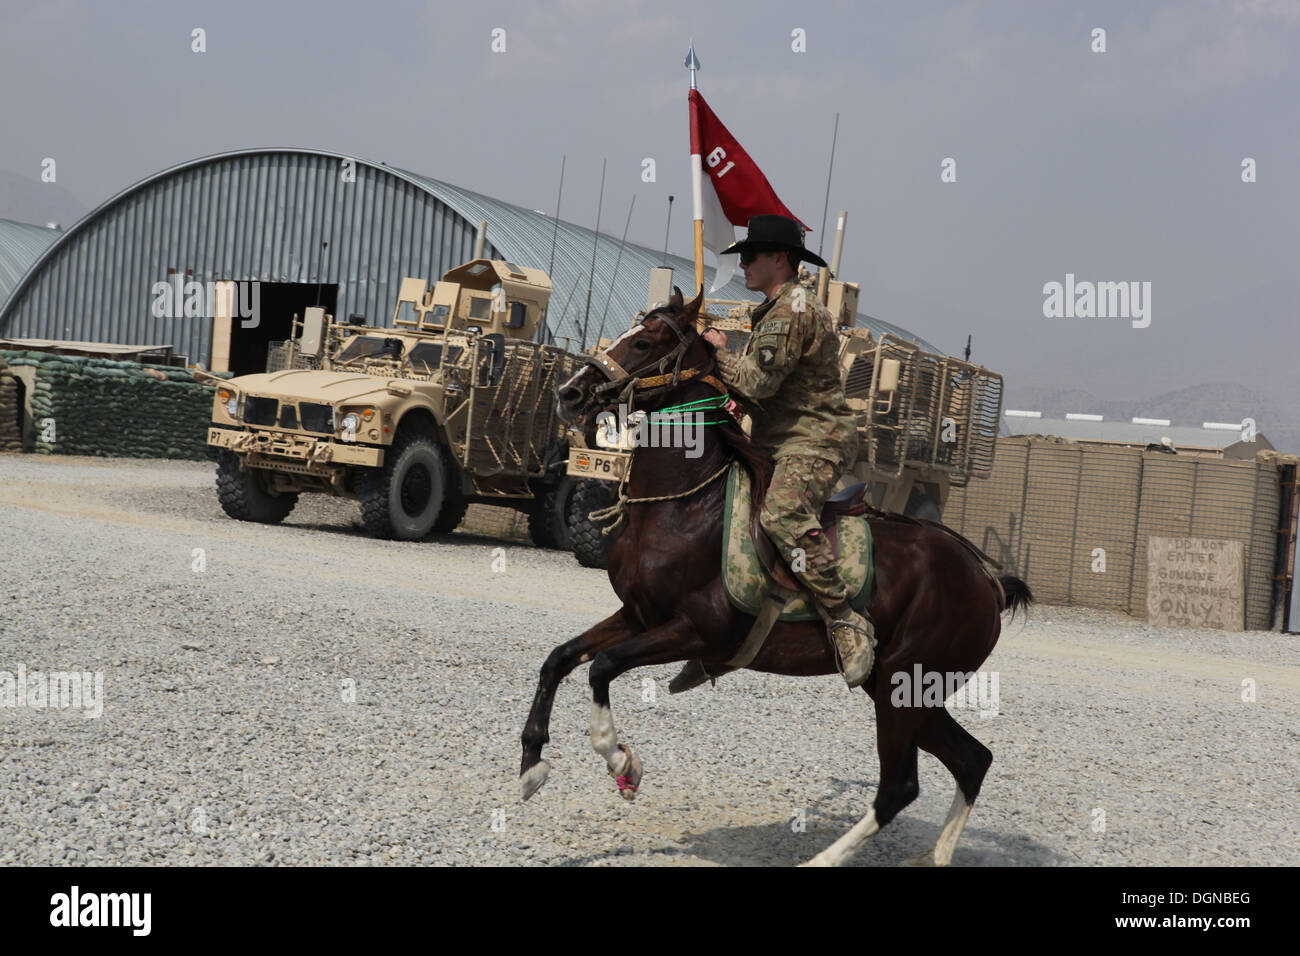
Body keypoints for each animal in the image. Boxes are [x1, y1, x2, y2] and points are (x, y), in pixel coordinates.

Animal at [512, 290, 1029, 868]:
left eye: (643, 342)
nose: (569, 393)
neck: (686, 507)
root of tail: (986, 580)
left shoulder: (699, 630)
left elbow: (601, 667)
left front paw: (621, 761)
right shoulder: (638, 616)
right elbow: (559, 658)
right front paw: (533, 764)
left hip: (902, 688)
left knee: (900, 786)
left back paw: (824, 860)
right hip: (907, 690)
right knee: (972, 759)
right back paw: (935, 856)